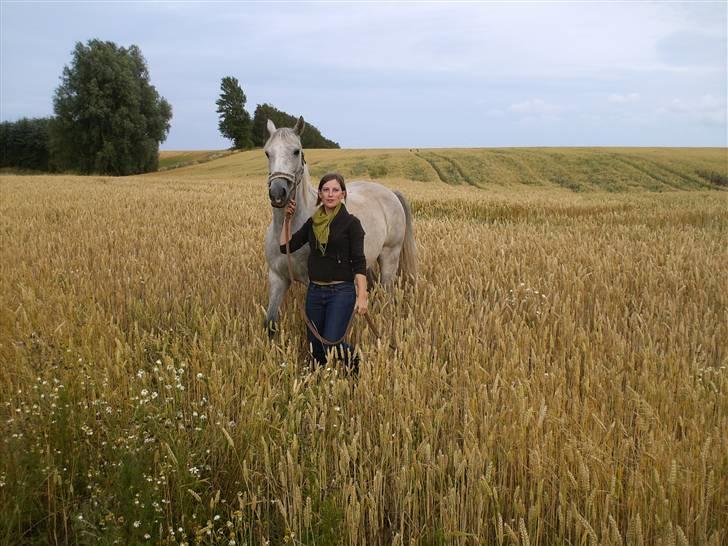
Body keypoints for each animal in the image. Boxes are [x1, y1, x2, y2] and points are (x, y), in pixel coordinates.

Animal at [264, 117, 418, 334]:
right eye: (267, 152)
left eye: (296, 151)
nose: (278, 193)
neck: (288, 228)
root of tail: (390, 193)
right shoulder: (277, 278)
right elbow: (270, 323)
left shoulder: (314, 283)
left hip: (390, 256)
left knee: (387, 293)